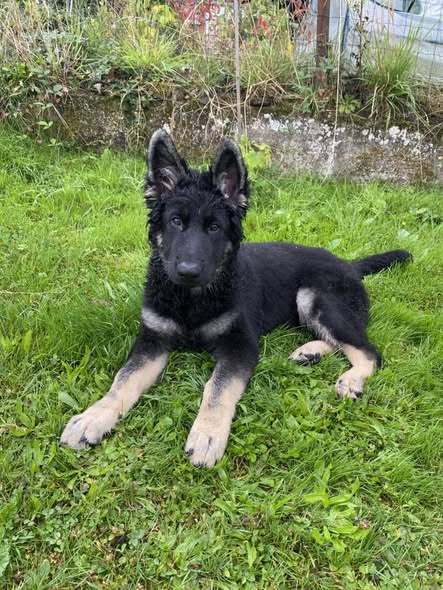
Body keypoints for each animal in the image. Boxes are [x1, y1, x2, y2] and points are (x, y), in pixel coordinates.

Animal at [60, 129, 411, 467]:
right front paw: (93, 417)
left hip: (314, 296)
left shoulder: (240, 346)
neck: (192, 301)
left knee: (368, 350)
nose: (188, 271)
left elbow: (218, 388)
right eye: (176, 222)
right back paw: (309, 352)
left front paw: (207, 434)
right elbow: (123, 380)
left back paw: (351, 378)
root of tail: (350, 264)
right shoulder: (151, 341)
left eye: (214, 228)